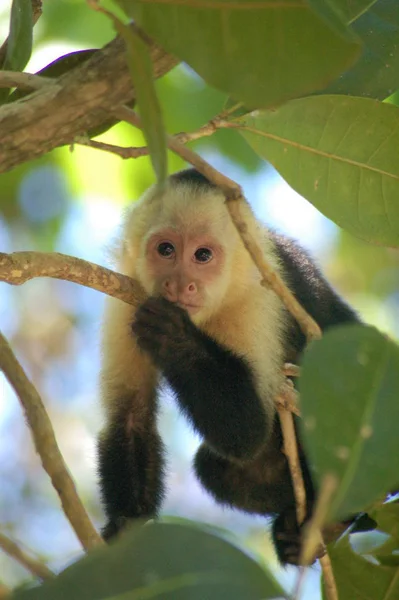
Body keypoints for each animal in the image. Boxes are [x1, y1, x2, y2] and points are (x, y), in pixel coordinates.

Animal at [98, 166, 374, 564]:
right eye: (166, 250)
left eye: (203, 255)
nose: (180, 284)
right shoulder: (128, 300)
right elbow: (130, 416)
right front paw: (128, 531)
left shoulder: (257, 299)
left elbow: (247, 430)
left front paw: (174, 336)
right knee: (214, 471)